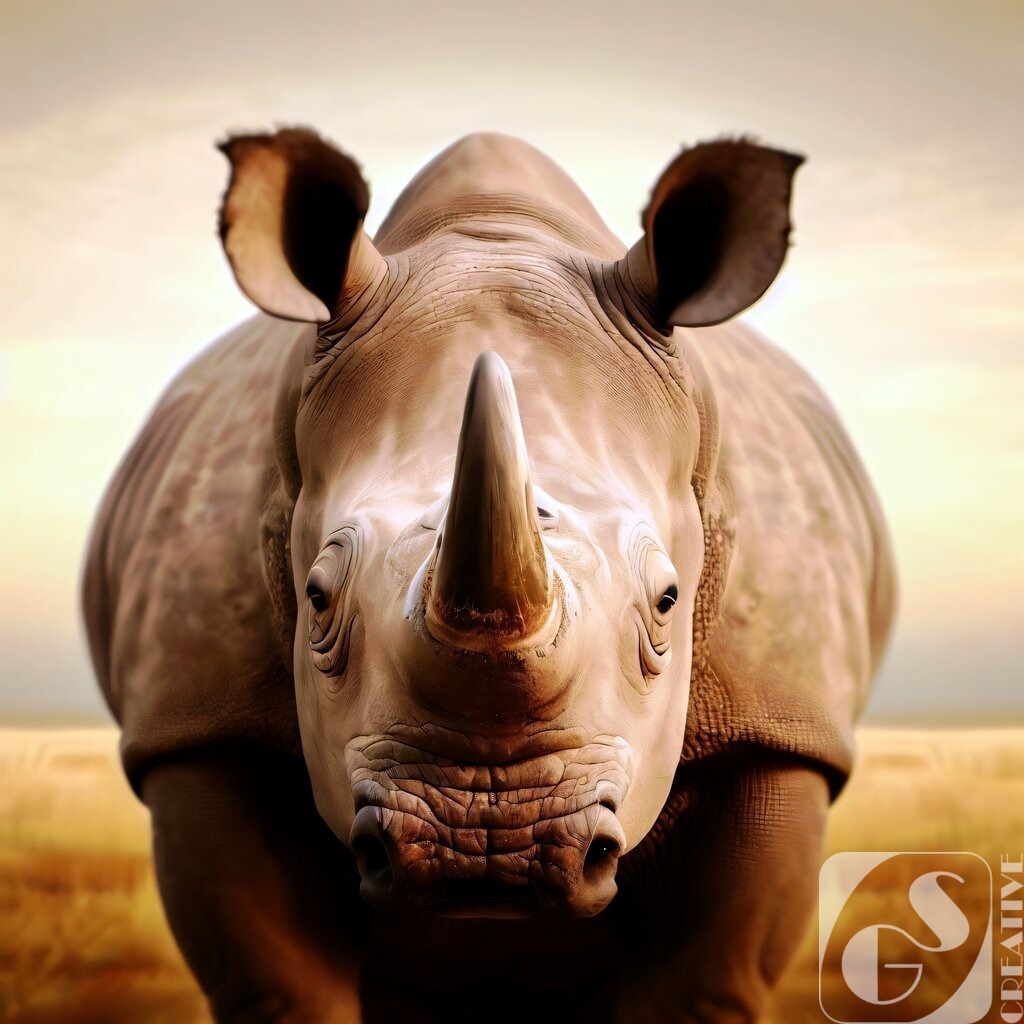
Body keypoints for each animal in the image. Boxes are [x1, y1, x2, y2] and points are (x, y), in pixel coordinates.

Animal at [83, 127, 895, 1023]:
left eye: (668, 600)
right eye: (317, 598)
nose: (489, 844)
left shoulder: (779, 725)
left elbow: (703, 985)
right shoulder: (197, 722)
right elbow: (283, 986)